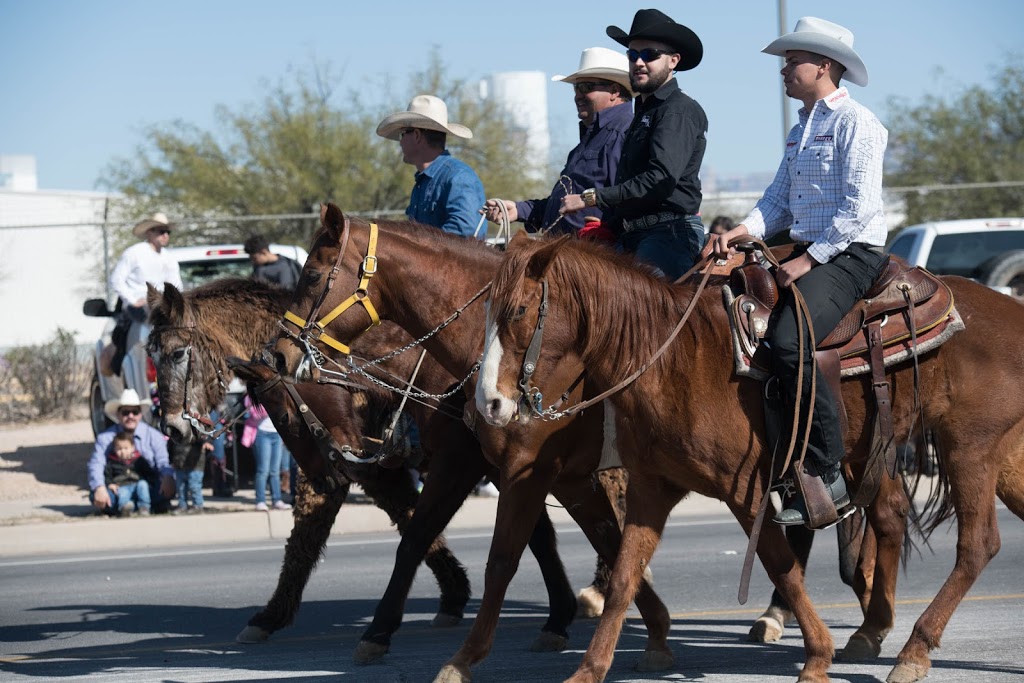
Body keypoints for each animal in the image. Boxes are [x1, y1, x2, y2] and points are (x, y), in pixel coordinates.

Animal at [477, 235, 1024, 683]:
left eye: (520, 310)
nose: (489, 404)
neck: (674, 359)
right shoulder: (651, 487)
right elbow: (624, 576)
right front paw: (590, 670)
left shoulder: (746, 491)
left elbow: (782, 566)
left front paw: (816, 658)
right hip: (995, 456)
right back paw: (885, 638)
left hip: (969, 447)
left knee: (977, 545)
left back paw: (913, 650)